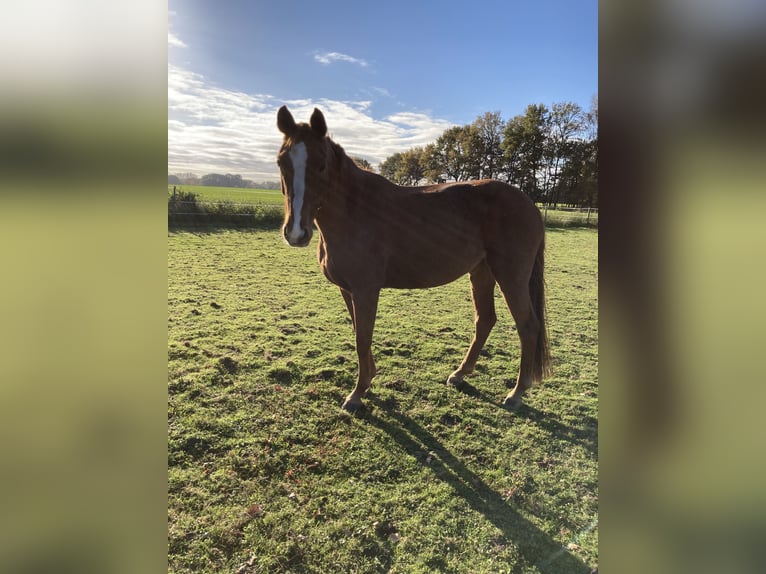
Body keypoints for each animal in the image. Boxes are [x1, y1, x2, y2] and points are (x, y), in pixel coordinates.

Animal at [276, 107, 552, 414]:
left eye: (321, 165)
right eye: (282, 162)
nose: (296, 233)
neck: (354, 209)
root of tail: (529, 205)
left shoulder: (365, 291)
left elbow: (363, 338)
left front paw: (357, 394)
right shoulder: (347, 290)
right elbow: (359, 332)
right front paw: (369, 380)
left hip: (511, 276)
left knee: (528, 326)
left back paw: (517, 392)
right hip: (482, 272)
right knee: (485, 320)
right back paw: (460, 374)